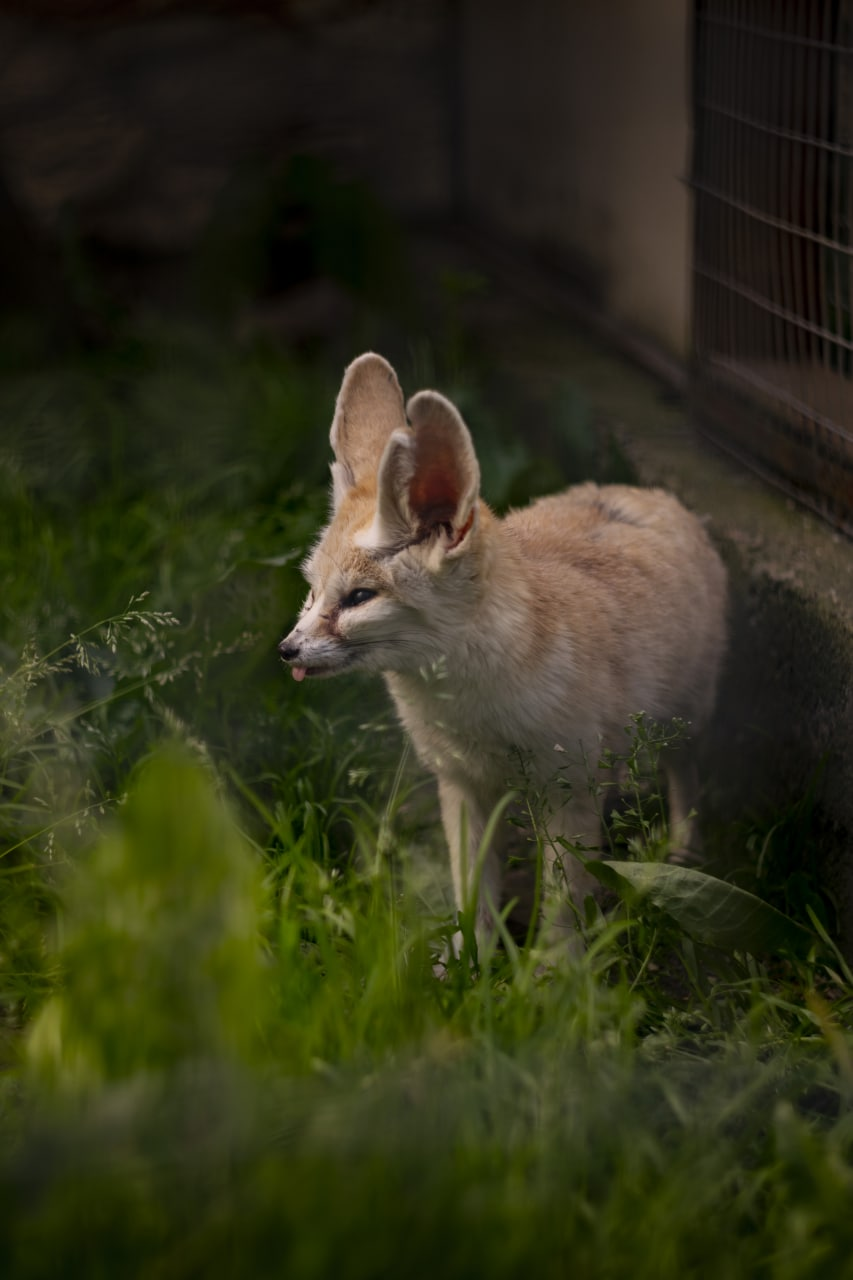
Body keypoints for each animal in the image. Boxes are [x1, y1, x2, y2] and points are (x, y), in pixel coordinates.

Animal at [277, 350, 722, 952]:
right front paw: (469, 962)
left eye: (359, 598)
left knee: (685, 779)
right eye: (312, 591)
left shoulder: (567, 792)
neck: (473, 708)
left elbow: (562, 906)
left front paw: (557, 971)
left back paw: (683, 853)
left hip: (688, 721)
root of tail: (648, 493)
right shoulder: (461, 784)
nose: (287, 650)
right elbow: (472, 897)